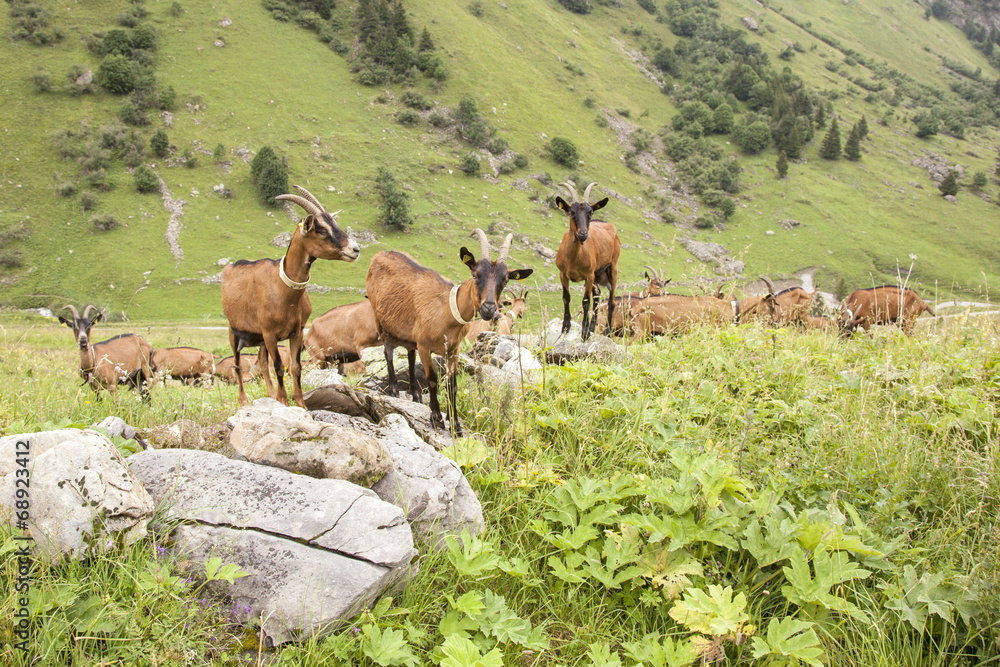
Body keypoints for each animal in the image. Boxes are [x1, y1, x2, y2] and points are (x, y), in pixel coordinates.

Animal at [221, 185, 360, 408]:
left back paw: (269, 396)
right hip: (235, 332)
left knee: (261, 361)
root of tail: (229, 268)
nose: (355, 249)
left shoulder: (297, 331)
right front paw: (284, 401)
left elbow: (295, 367)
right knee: (237, 364)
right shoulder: (270, 333)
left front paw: (300, 403)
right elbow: (278, 366)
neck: (284, 292)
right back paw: (243, 401)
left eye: (334, 223)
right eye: (321, 230)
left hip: (260, 338)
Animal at [366, 229, 533, 433]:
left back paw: (415, 394)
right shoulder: (425, 346)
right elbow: (432, 380)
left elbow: (452, 384)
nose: (489, 309)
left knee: (410, 354)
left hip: (409, 333)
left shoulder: (453, 349)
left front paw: (455, 424)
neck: (446, 309)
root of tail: (378, 255)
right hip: (379, 318)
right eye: (475, 274)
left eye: (505, 280)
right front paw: (436, 418)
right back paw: (394, 389)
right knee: (387, 351)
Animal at [555, 181, 621, 340]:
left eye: (590, 213)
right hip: (597, 274)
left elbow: (585, 302)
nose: (583, 234)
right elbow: (566, 297)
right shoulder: (562, 274)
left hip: (612, 268)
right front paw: (565, 327)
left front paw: (584, 334)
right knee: (597, 296)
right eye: (571, 212)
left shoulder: (588, 275)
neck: (573, 259)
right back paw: (592, 327)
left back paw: (607, 331)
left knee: (611, 301)